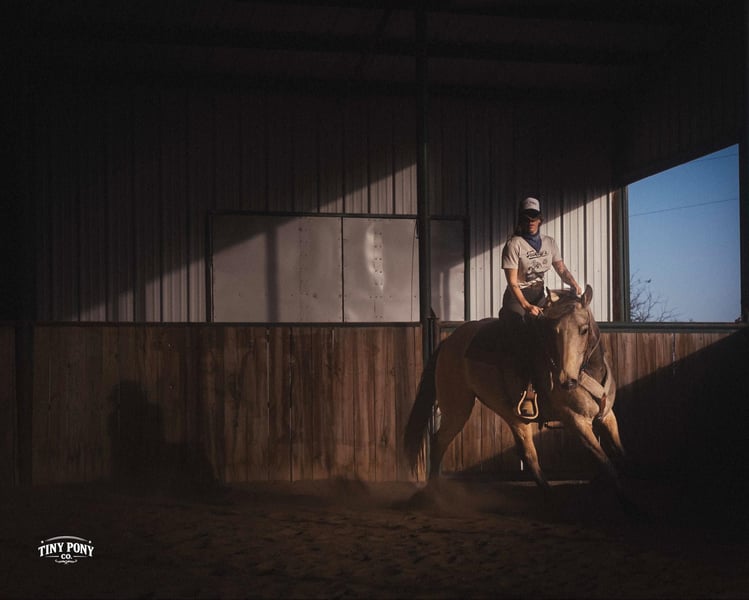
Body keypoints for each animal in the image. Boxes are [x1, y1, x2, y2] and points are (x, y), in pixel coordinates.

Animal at [404, 285, 627, 492]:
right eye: (553, 331)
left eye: (584, 329)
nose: (566, 381)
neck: (590, 372)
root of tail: (447, 343)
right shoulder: (576, 421)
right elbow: (608, 464)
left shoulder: (608, 416)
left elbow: (620, 456)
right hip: (457, 409)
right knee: (440, 442)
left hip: (513, 416)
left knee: (527, 454)